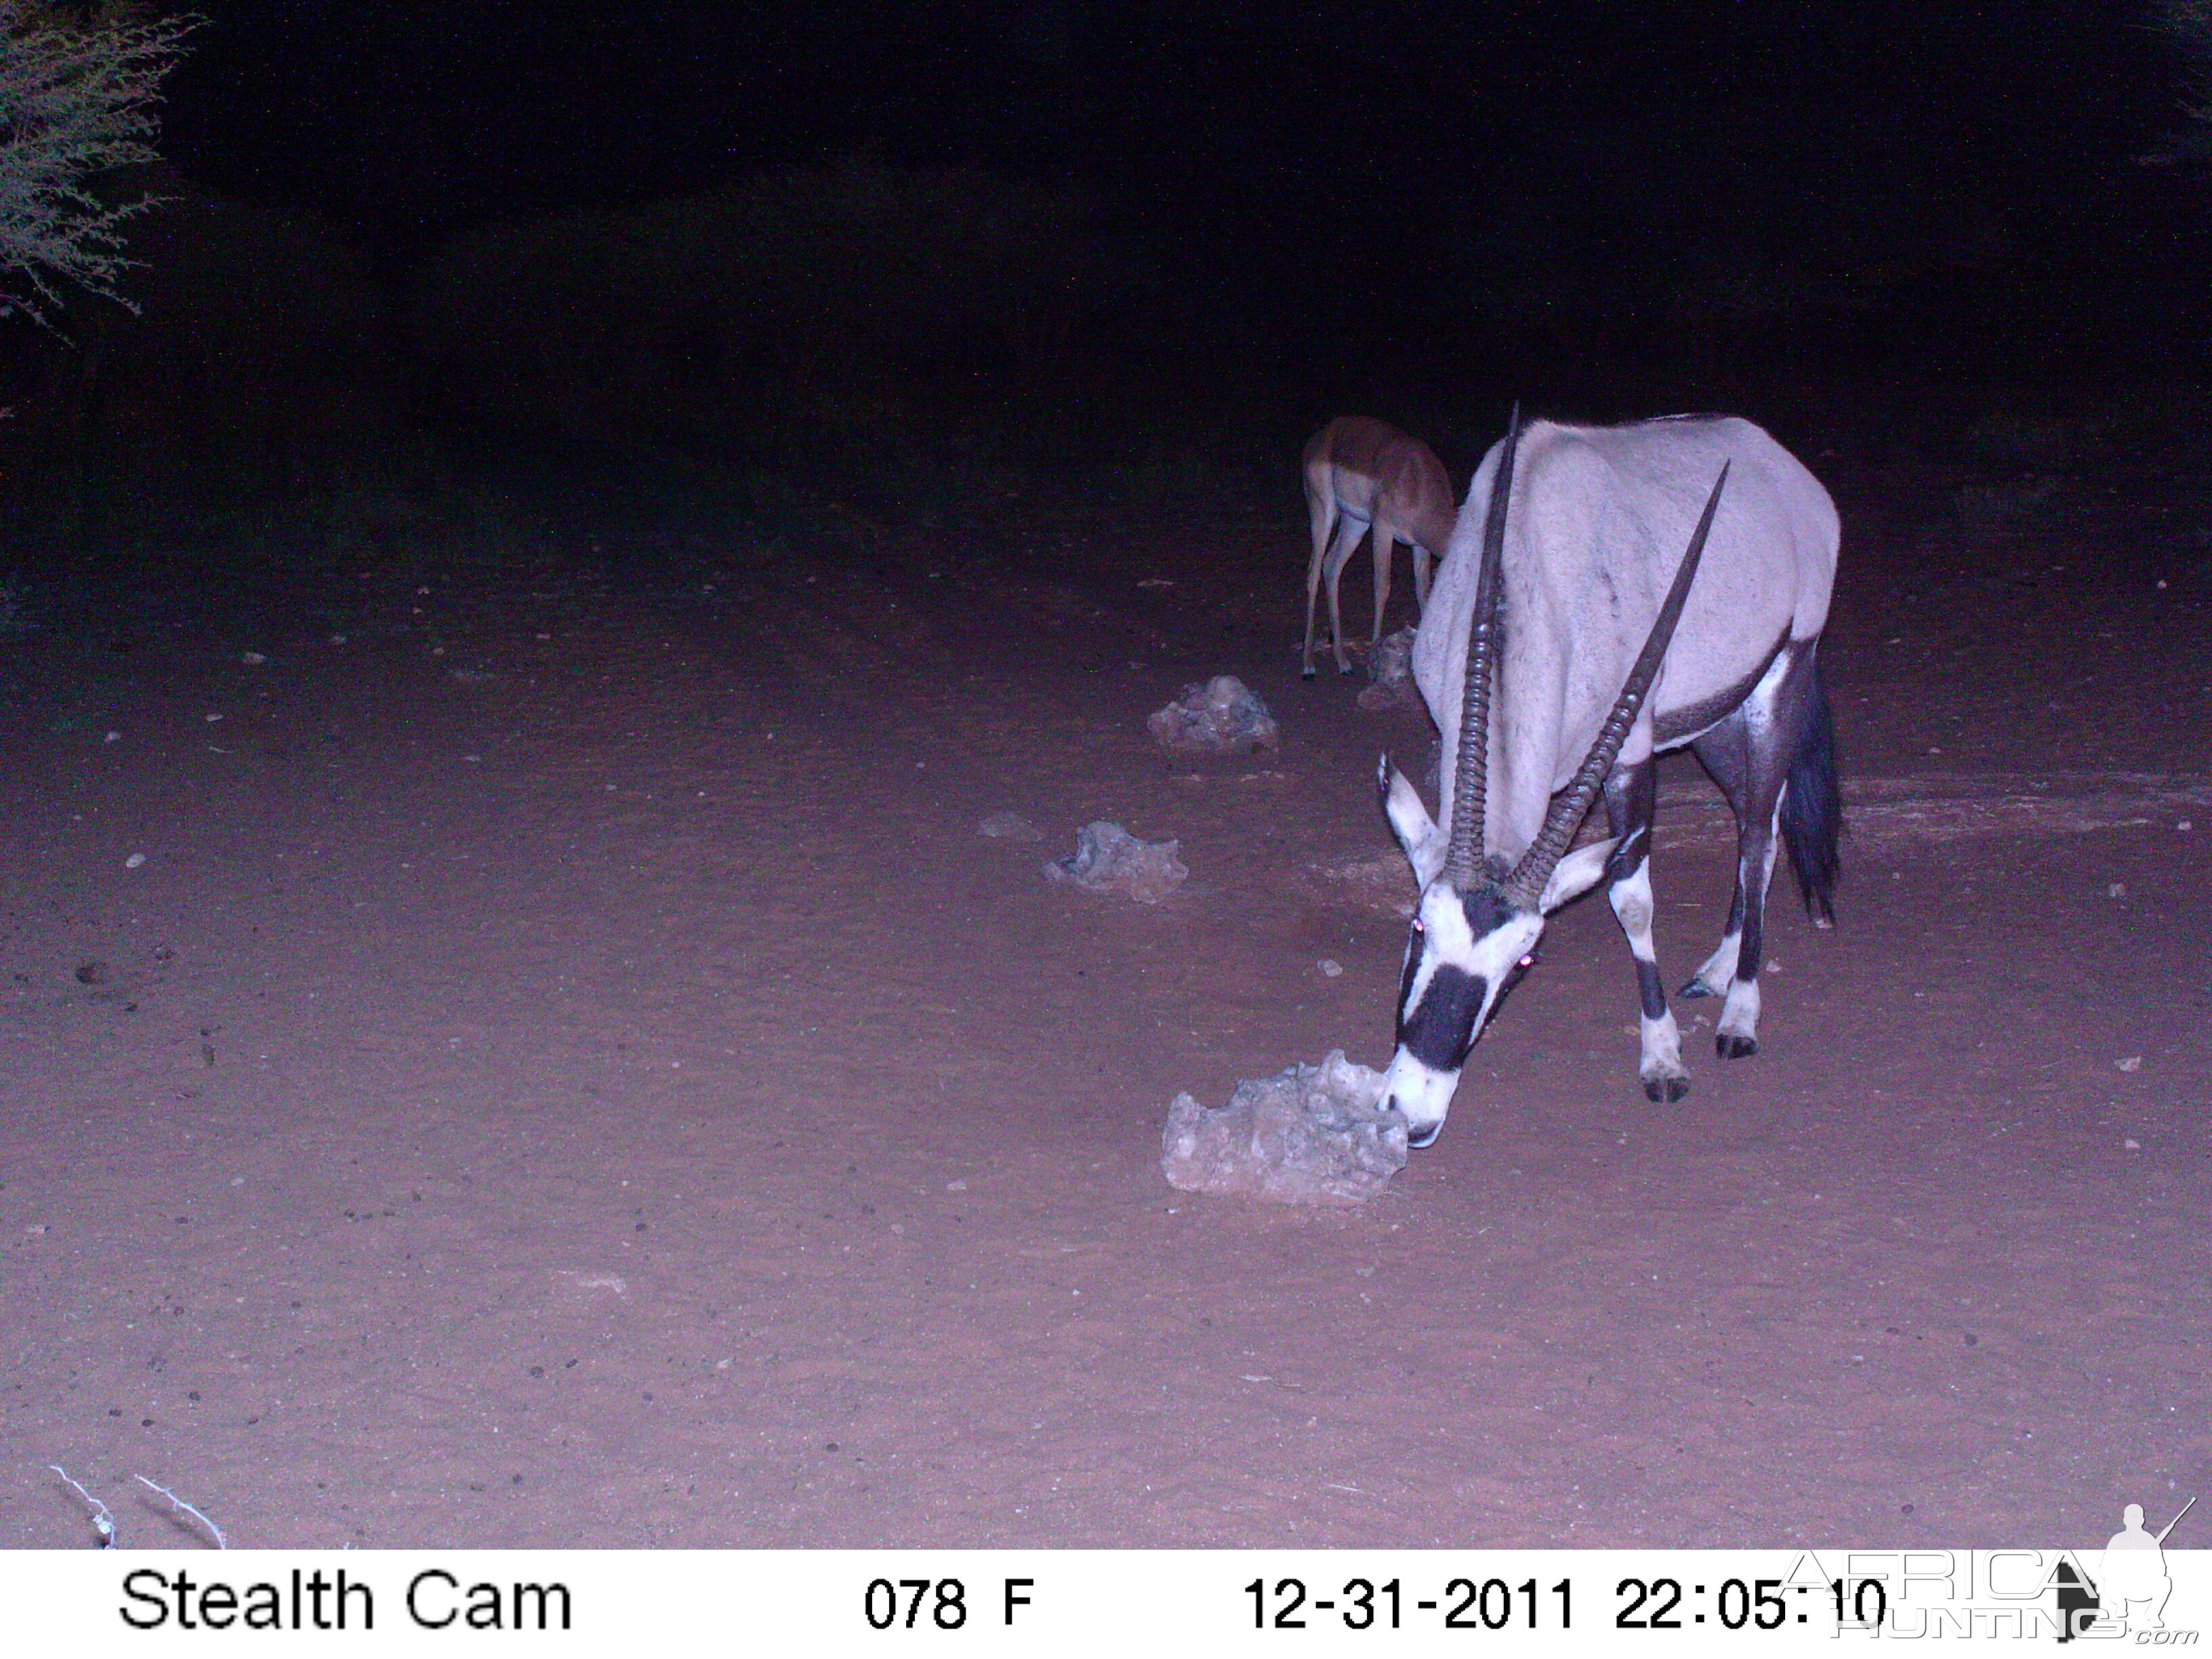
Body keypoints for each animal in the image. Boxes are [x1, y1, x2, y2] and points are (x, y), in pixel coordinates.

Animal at [1300, 417, 1460, 676]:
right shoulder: (1382, 530)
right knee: (1313, 572)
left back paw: (1343, 662)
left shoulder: (1419, 546)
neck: (1416, 482)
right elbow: (1382, 588)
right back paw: (1308, 665)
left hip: (1355, 524)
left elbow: (1422, 591)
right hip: (1324, 511)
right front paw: (1373, 663)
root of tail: (1321, 436)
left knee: (1331, 566)